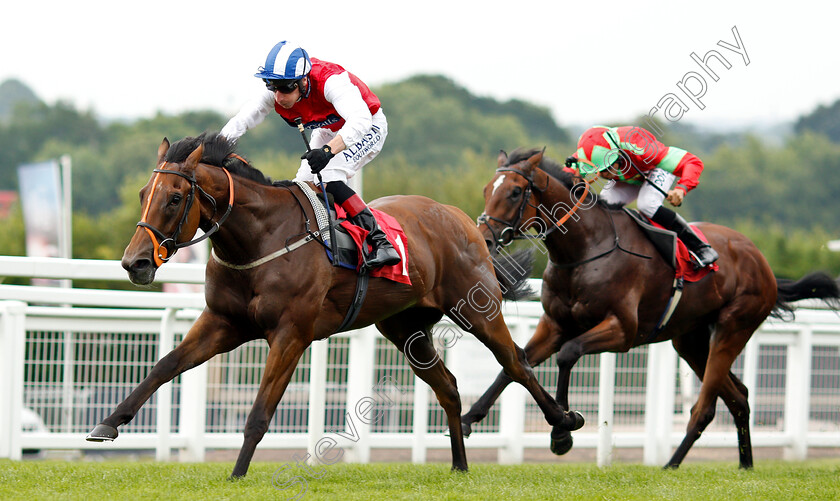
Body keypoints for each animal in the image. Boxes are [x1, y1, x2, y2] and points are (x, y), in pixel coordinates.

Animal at [87, 133, 584, 476]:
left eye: (174, 198)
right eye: (142, 195)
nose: (134, 262)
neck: (261, 238)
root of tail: (464, 220)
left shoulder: (291, 333)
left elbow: (260, 412)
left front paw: (237, 474)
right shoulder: (223, 323)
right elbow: (165, 365)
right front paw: (108, 424)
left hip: (477, 309)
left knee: (517, 363)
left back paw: (564, 422)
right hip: (405, 329)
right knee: (448, 386)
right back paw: (460, 466)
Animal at [462, 147, 836, 468]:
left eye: (514, 192)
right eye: (485, 189)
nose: (484, 237)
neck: (585, 248)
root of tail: (762, 261)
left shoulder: (622, 330)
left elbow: (568, 354)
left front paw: (562, 433)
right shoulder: (554, 324)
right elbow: (515, 364)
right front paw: (467, 420)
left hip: (733, 328)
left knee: (706, 407)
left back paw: (671, 465)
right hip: (690, 340)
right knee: (738, 397)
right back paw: (744, 465)